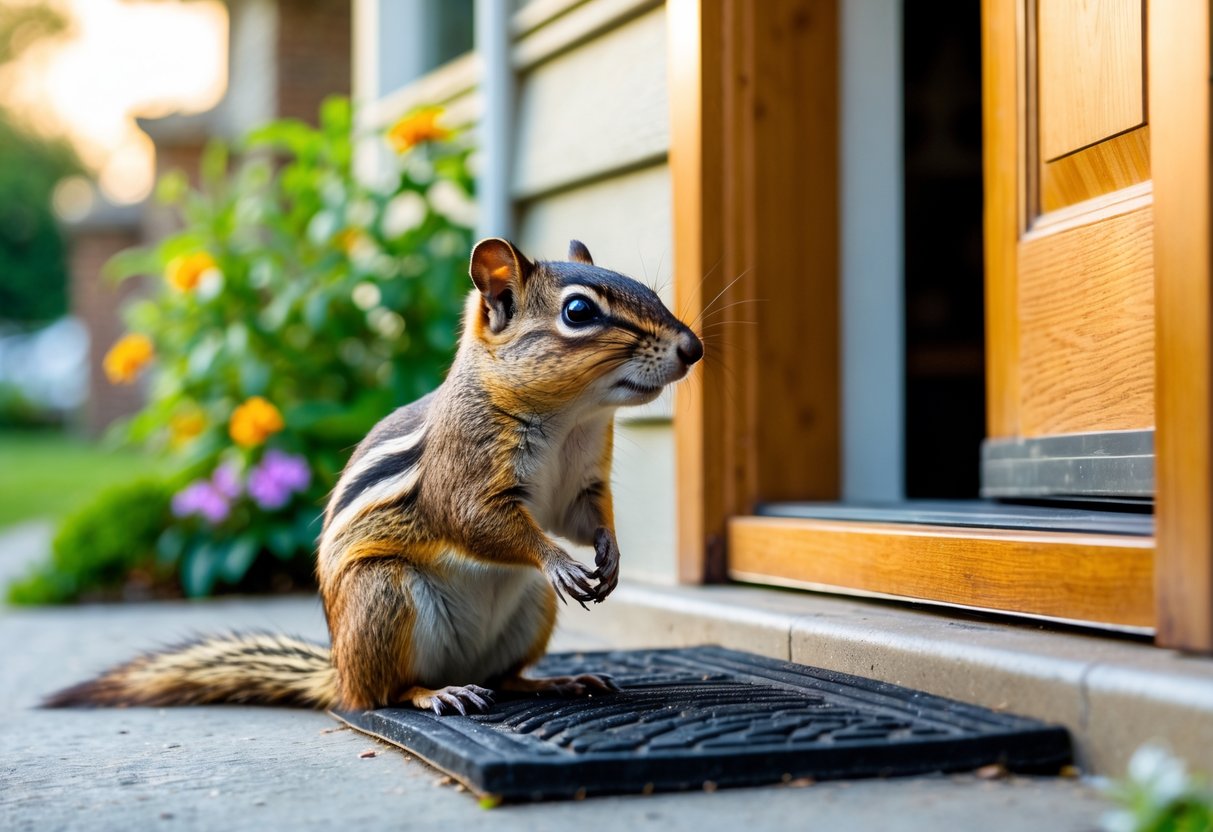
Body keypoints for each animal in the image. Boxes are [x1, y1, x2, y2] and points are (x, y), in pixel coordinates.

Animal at [44, 238, 703, 715]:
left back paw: (549, 683)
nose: (692, 348)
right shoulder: (461, 470)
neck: (572, 418)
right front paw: (559, 560)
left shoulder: (581, 480)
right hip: (383, 597)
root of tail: (339, 671)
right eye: (578, 311)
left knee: (502, 676)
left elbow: (585, 515)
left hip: (528, 611)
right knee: (384, 693)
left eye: (645, 288)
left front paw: (609, 555)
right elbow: (475, 519)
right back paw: (437, 692)